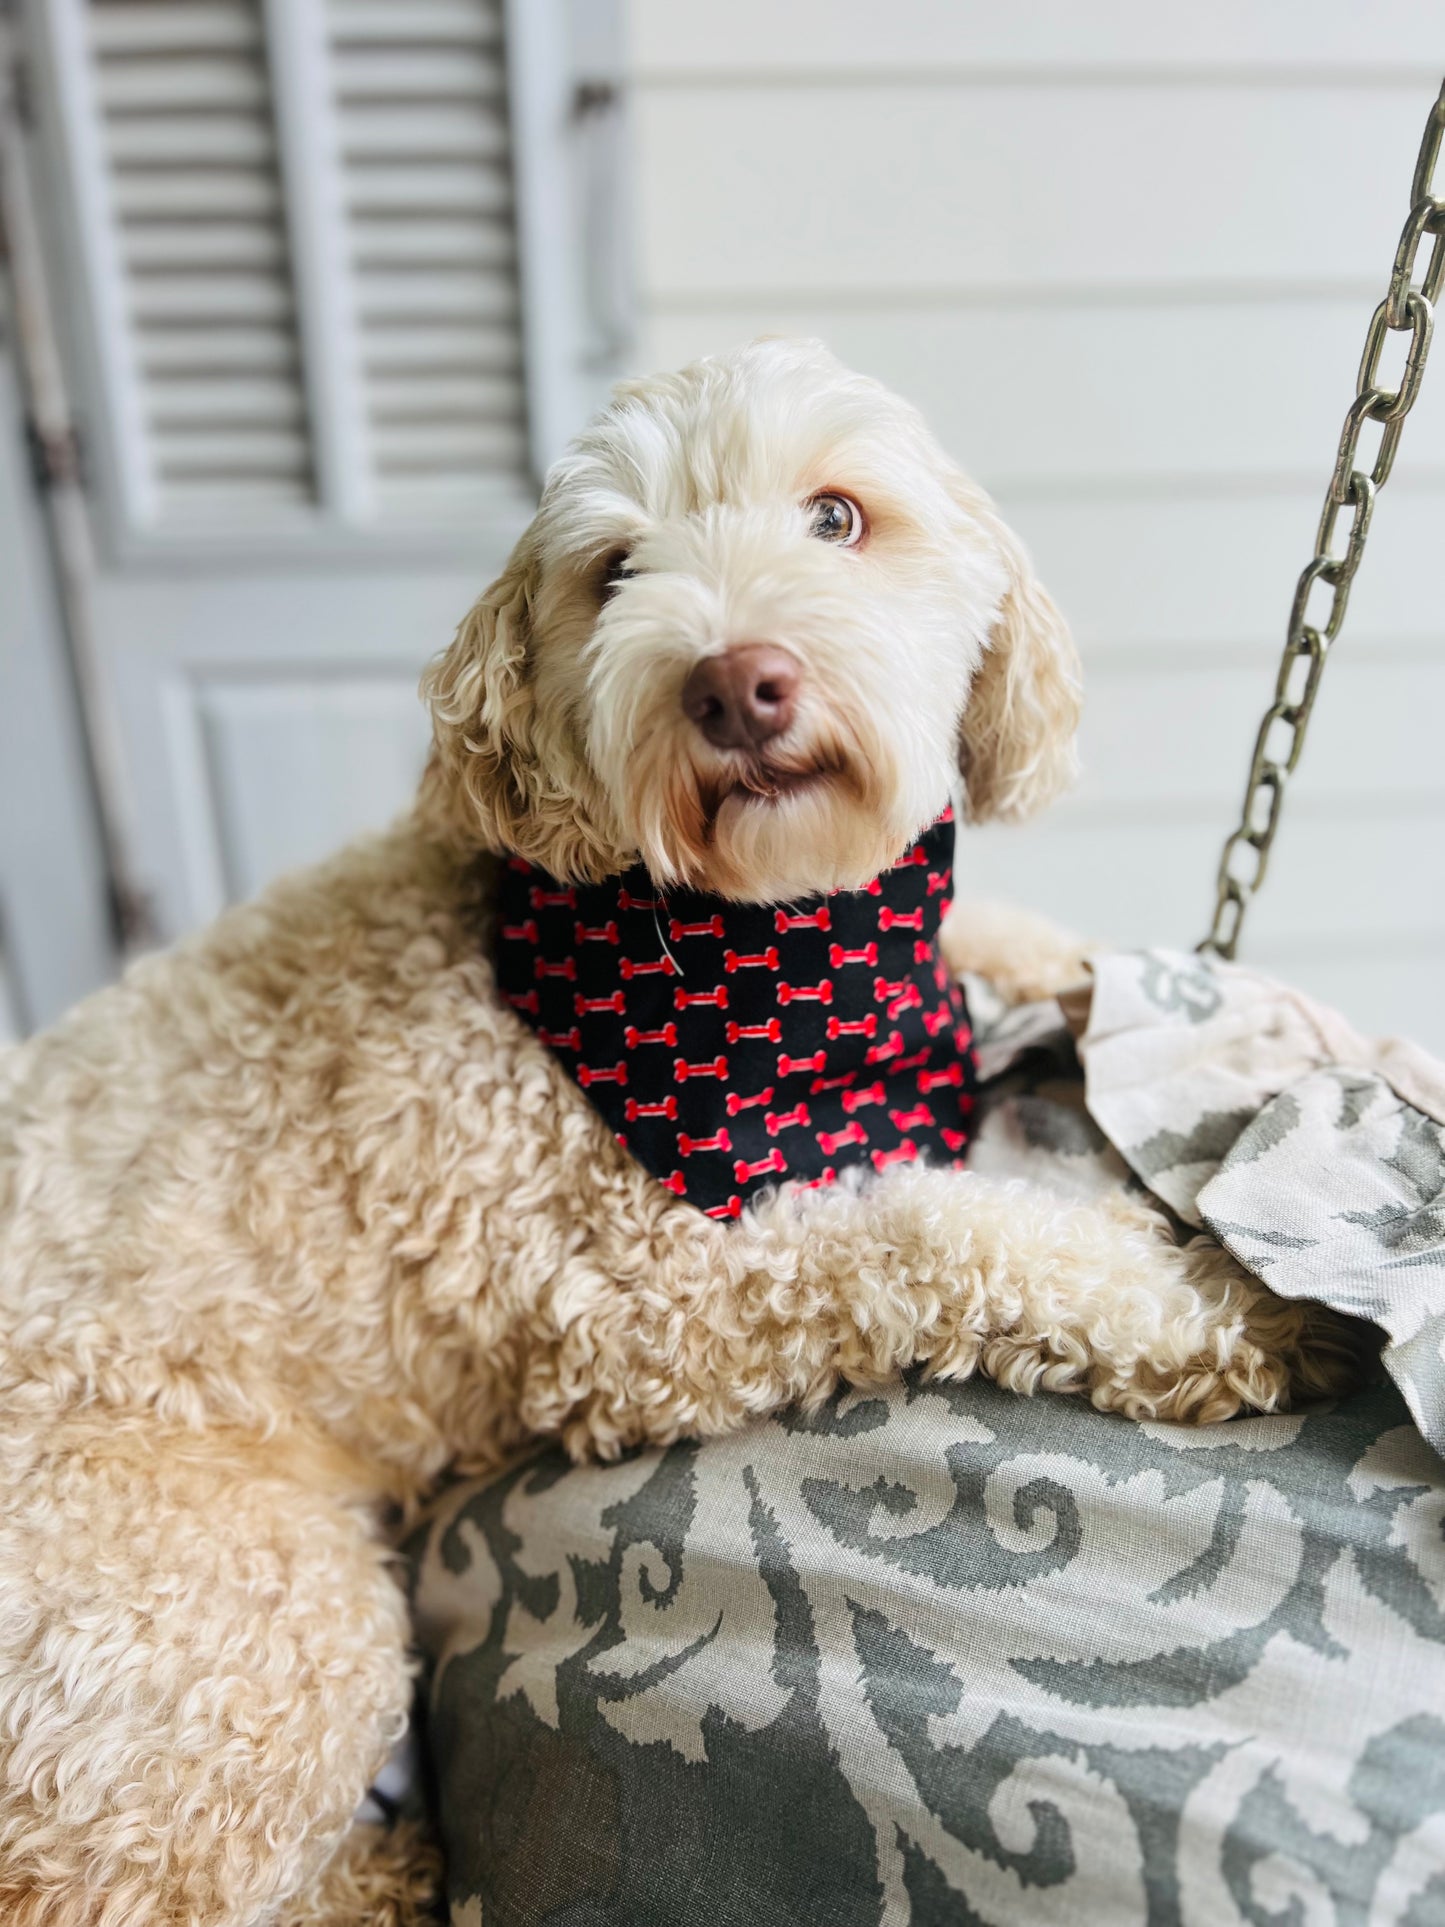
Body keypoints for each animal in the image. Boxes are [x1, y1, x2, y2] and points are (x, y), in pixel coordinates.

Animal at [0, 346, 1356, 1927]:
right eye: (614, 572)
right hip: (240, 1636)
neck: (765, 941)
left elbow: (1010, 953)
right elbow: (933, 1226)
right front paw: (1216, 1301)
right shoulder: (637, 1305)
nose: (734, 682)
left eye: (836, 516)